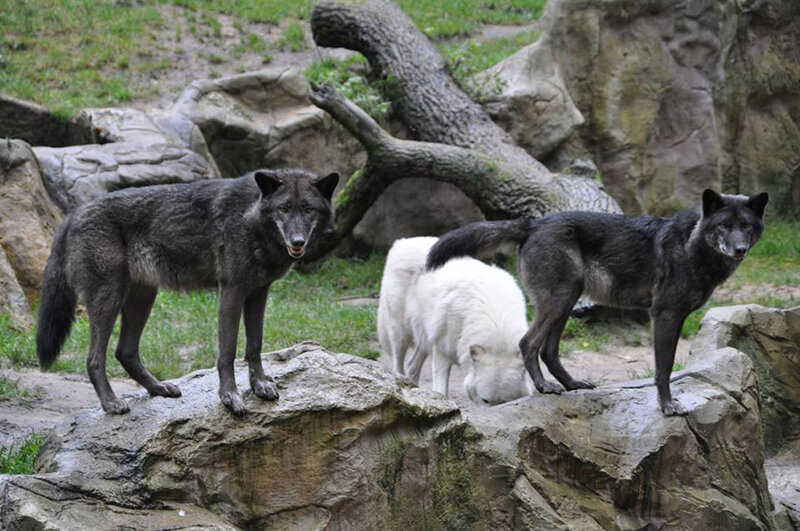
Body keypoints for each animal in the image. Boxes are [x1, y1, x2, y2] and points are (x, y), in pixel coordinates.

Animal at [36, 168, 338, 416]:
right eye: (284, 209)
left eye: (308, 209)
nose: (297, 241)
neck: (250, 217)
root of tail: (73, 213)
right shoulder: (232, 291)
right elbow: (228, 351)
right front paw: (230, 397)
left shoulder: (258, 292)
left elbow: (255, 345)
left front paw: (260, 385)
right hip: (109, 299)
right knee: (94, 359)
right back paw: (111, 404)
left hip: (142, 298)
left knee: (125, 352)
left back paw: (158, 388)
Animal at [378, 237, 533, 405]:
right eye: (485, 400)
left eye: (506, 403)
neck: (496, 320)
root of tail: (402, 242)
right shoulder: (441, 353)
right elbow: (441, 391)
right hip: (400, 335)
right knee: (398, 365)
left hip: (425, 337)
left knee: (412, 365)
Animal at [427, 189, 768, 415]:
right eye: (723, 225)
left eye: (746, 226)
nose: (739, 249)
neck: (692, 245)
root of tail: (531, 224)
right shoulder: (664, 315)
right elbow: (664, 368)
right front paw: (667, 406)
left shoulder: (677, 316)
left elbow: (667, 365)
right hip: (559, 300)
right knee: (528, 343)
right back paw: (544, 387)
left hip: (566, 301)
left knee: (549, 350)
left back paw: (572, 384)